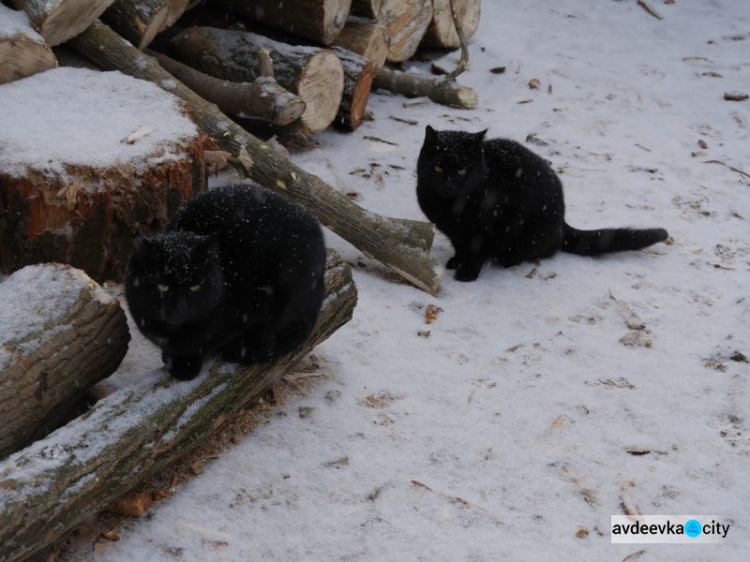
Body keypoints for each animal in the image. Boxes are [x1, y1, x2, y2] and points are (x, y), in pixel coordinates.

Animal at [125, 182, 328, 378]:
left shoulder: (251, 306)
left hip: (291, 282)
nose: (180, 307)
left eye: (195, 286)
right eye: (163, 286)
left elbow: (201, 341)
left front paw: (185, 365)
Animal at [418, 123, 668, 278]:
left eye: (462, 170)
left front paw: (466, 273)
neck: (451, 208)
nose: (449, 183)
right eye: (438, 166)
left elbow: (476, 252)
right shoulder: (456, 234)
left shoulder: (483, 231)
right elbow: (461, 248)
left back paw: (506, 260)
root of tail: (562, 222)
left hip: (528, 235)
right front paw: (455, 262)